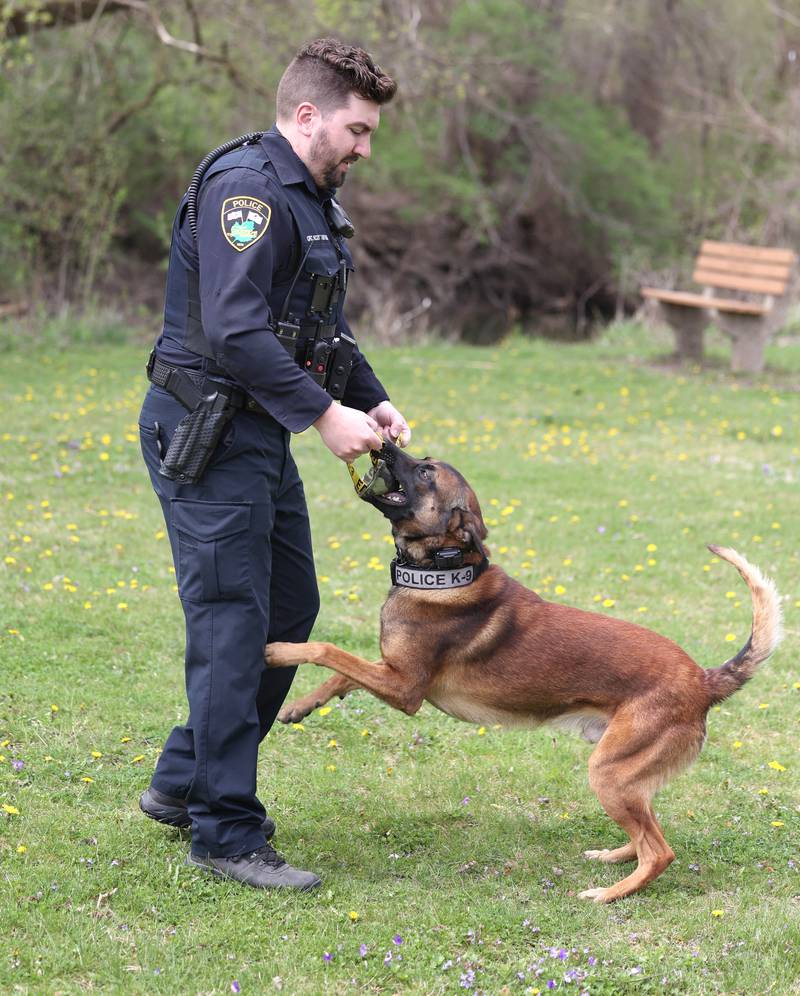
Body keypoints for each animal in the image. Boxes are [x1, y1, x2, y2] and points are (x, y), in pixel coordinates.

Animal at [264, 444, 780, 904]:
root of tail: (703, 681)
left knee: (660, 852)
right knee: (646, 830)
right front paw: (299, 707)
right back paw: (613, 856)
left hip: (609, 773)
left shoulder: (404, 688)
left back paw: (608, 894)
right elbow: (341, 674)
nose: (384, 443)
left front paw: (279, 651)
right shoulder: (389, 672)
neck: (444, 572)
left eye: (427, 471)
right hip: (627, 773)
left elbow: (329, 650)